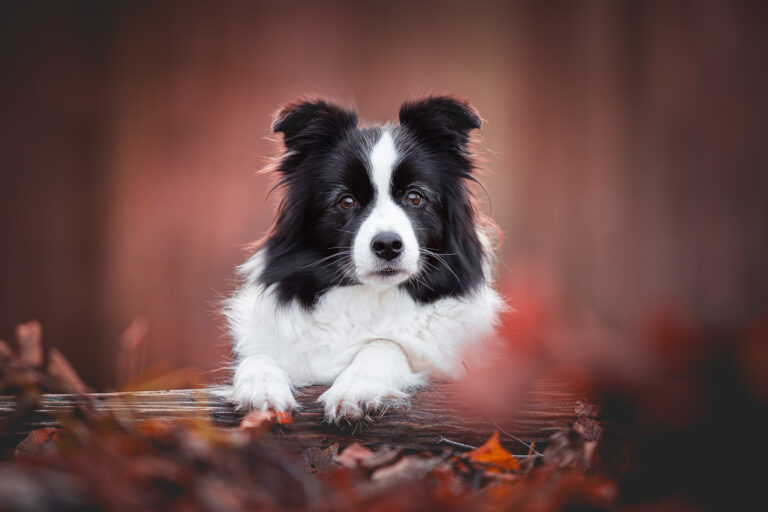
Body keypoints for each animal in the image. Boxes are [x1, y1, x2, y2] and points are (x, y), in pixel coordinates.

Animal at [225, 97, 508, 424]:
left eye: (415, 197)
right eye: (346, 201)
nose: (387, 246)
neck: (371, 298)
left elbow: (384, 344)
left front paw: (355, 387)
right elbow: (258, 356)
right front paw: (261, 388)